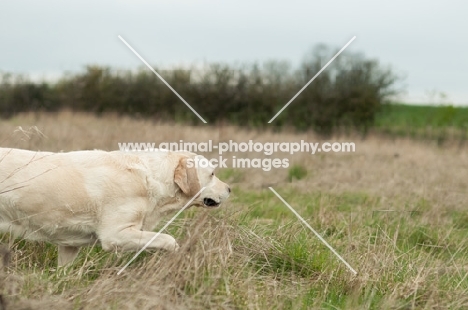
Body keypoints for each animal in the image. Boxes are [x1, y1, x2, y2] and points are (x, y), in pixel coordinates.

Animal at [0, 148, 230, 266]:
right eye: (212, 174)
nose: (229, 189)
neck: (150, 179)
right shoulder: (116, 235)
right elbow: (168, 239)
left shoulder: (69, 244)